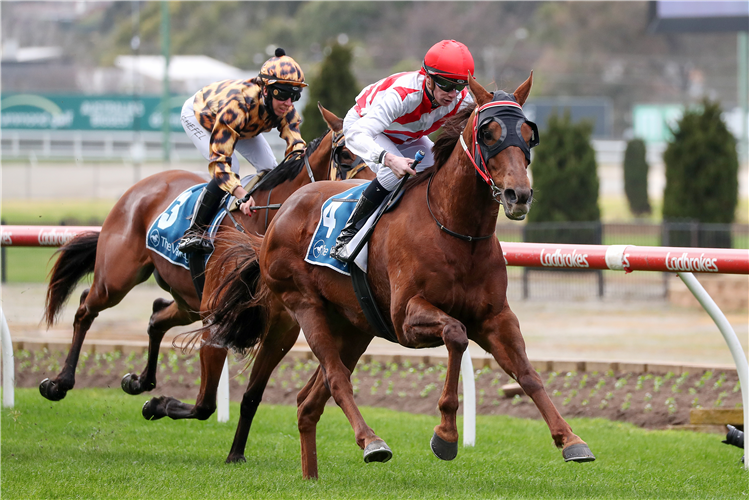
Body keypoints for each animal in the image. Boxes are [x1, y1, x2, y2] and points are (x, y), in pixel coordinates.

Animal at [39, 103, 372, 424]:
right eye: (345, 154)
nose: (367, 196)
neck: (268, 221)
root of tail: (143, 186)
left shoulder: (283, 327)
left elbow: (248, 397)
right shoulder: (218, 315)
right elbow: (205, 404)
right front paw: (158, 405)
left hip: (188, 300)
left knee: (156, 315)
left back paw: (139, 381)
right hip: (117, 280)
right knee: (85, 307)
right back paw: (58, 383)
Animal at [206, 73, 596, 476]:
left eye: (529, 133)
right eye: (488, 133)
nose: (518, 194)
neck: (456, 230)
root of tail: (279, 214)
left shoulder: (495, 317)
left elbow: (528, 374)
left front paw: (570, 439)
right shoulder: (406, 317)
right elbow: (456, 335)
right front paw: (445, 435)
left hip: (354, 325)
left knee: (308, 402)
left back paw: (311, 474)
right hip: (304, 305)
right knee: (336, 378)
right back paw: (371, 441)